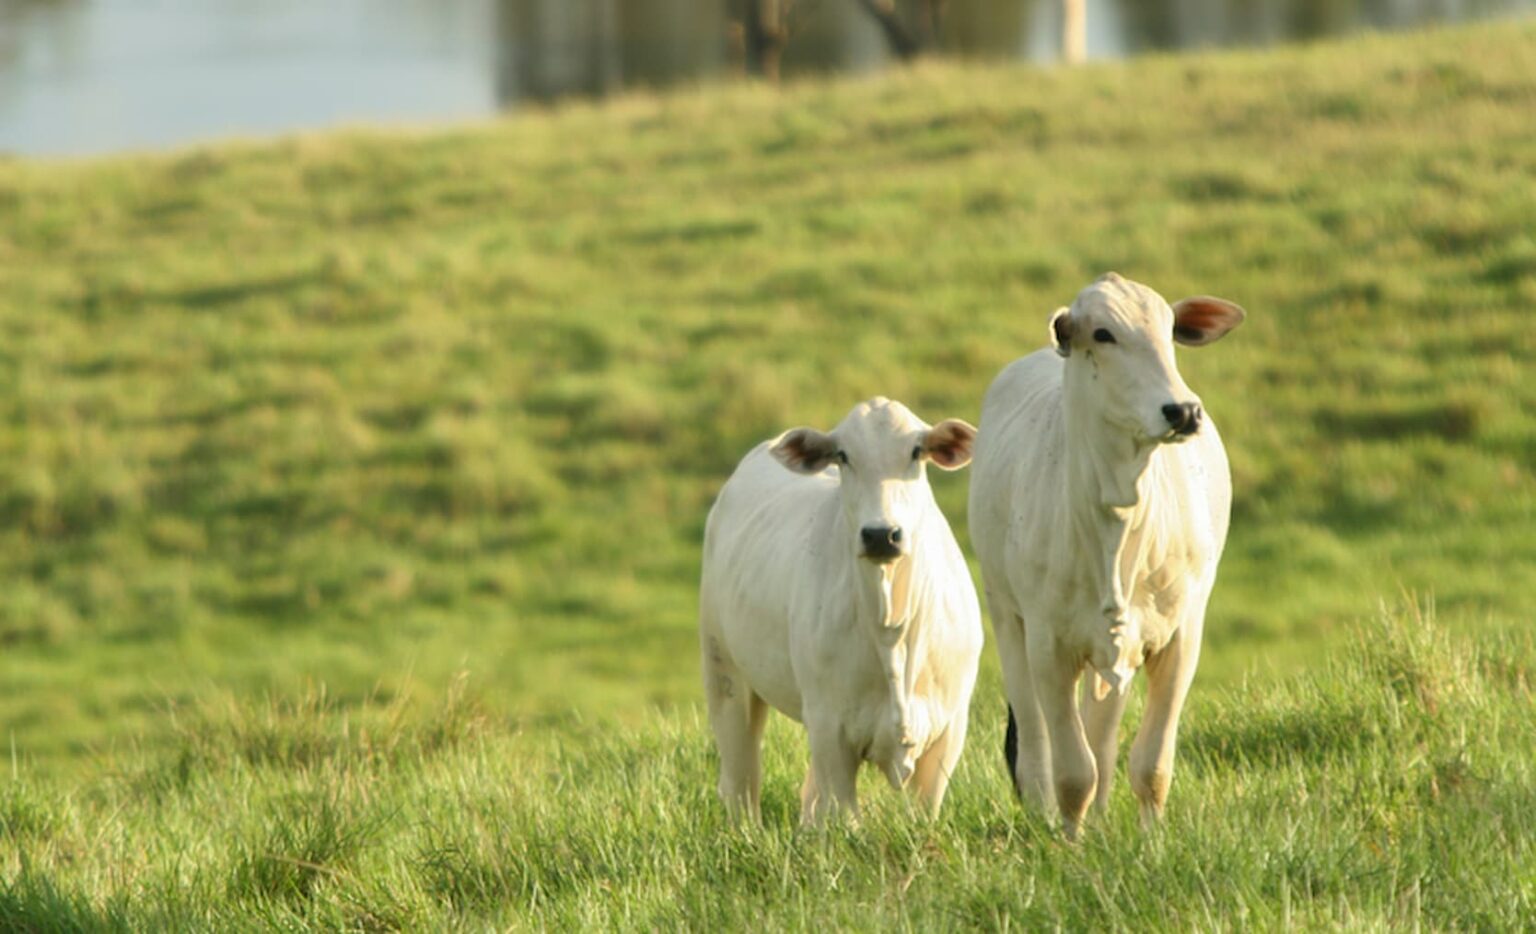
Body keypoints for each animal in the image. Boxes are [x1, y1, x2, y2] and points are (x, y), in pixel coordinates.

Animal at [700, 396, 976, 823]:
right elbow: (844, 815)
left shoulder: (949, 730)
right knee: (741, 783)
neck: (891, 627)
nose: (881, 534)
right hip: (725, 673)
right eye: (843, 456)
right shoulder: (831, 729)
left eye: (917, 451)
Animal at [970, 271, 1247, 841]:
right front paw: (1070, 844)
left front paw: (1150, 840)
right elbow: (1072, 771)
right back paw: (1047, 814)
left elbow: (1151, 762)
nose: (1183, 411)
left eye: (1169, 329)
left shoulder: (1180, 637)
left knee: (1102, 733)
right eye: (1102, 334)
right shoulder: (1049, 646)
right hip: (1007, 617)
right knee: (1037, 745)